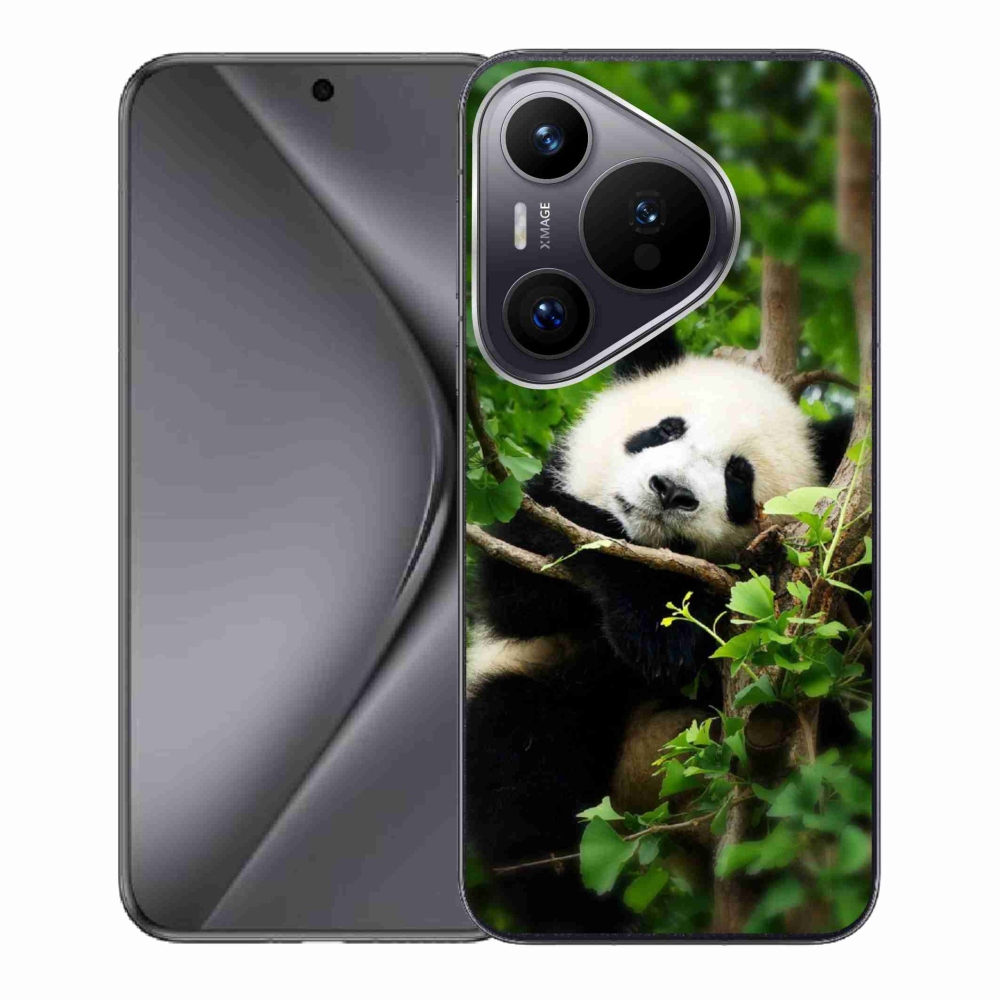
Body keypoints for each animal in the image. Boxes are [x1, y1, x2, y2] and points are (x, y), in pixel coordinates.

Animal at [465, 330, 852, 934]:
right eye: (667, 429)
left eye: (738, 477)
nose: (670, 491)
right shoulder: (528, 529)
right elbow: (524, 585)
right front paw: (655, 619)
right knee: (522, 766)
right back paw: (579, 912)